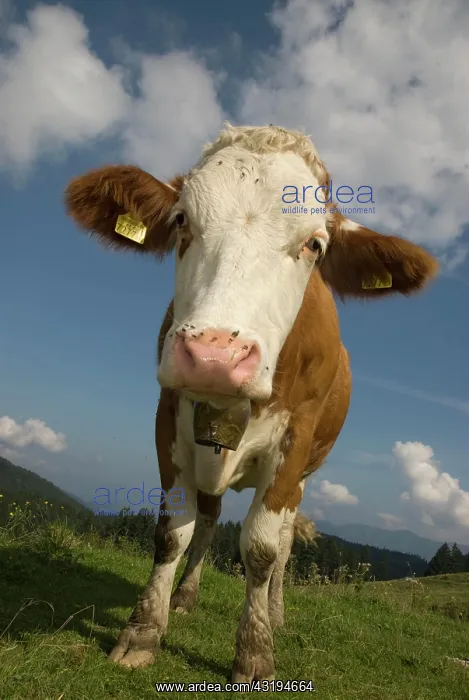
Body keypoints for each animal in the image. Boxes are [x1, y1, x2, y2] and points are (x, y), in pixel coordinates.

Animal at [64, 123, 438, 682]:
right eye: (181, 221)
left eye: (314, 244)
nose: (214, 355)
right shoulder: (169, 415)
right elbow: (173, 530)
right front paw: (144, 631)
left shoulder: (295, 437)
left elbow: (261, 548)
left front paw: (255, 653)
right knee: (210, 517)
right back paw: (186, 597)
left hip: (303, 475)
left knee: (281, 542)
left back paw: (276, 613)